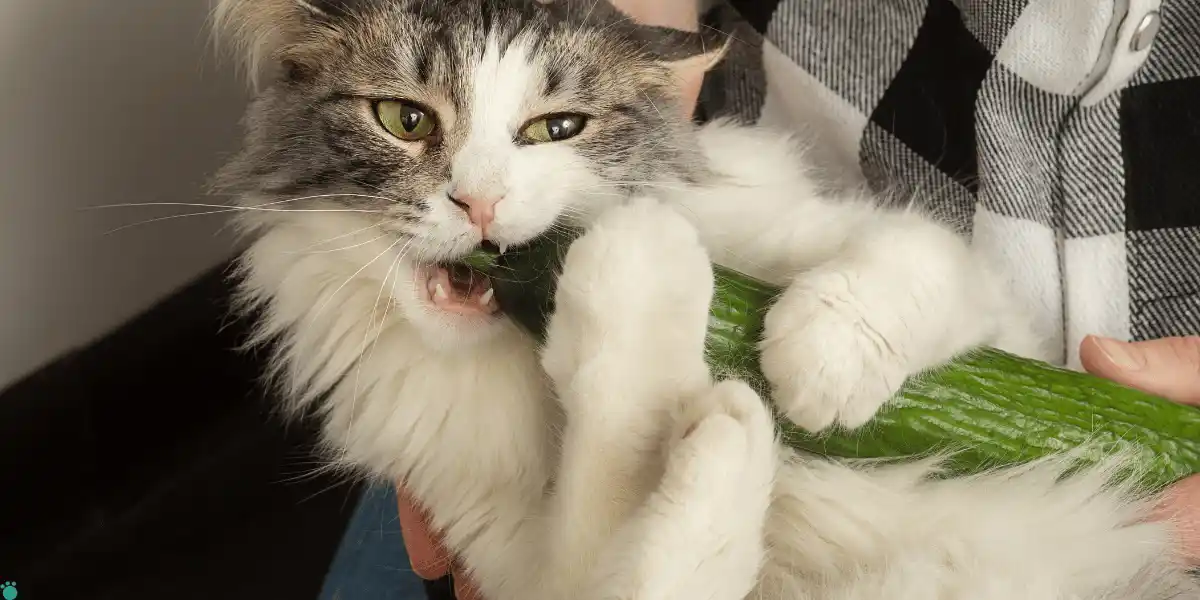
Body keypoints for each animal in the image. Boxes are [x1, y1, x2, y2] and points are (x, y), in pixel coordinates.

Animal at [211, 0, 1195, 597]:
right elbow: (631, 494)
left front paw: (815, 361)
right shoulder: (525, 568)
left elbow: (916, 264)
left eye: (557, 128)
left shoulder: (990, 312)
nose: (481, 205)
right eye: (406, 121)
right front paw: (644, 285)